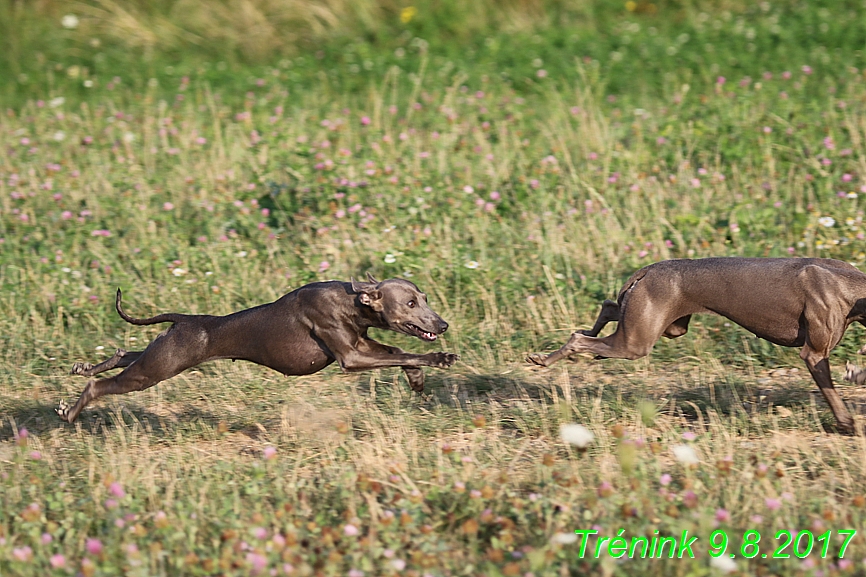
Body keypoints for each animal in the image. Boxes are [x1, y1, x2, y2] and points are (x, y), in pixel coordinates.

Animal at [57, 274, 456, 424]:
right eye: (410, 303)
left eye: (423, 297)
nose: (442, 325)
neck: (352, 300)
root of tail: (184, 319)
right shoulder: (351, 357)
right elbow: (405, 352)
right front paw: (440, 358)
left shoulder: (362, 343)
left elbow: (397, 352)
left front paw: (417, 378)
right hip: (158, 368)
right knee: (102, 385)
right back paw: (70, 411)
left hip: (161, 355)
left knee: (125, 354)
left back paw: (82, 370)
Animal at [528, 256, 864, 432]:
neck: (850, 284)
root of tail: (649, 269)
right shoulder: (814, 353)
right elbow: (831, 391)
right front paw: (848, 423)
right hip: (639, 340)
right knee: (580, 337)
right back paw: (545, 358)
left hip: (666, 326)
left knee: (608, 307)